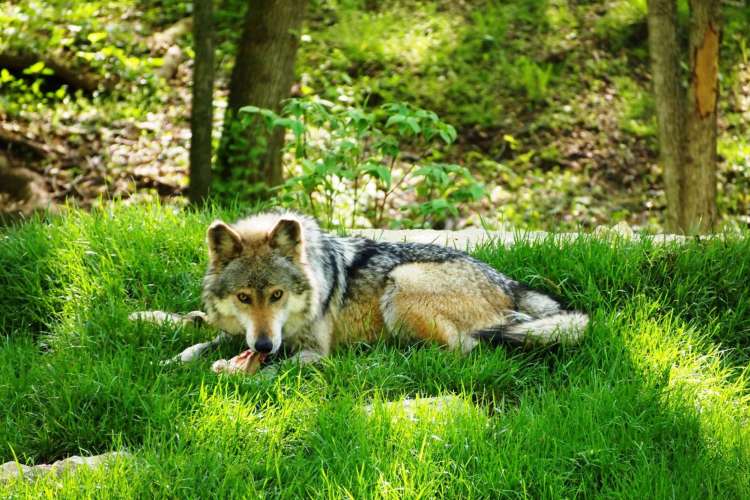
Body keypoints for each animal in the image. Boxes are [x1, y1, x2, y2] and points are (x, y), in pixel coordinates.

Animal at [138, 209, 592, 370]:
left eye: (277, 296)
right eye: (244, 298)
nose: (264, 344)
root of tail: (508, 283)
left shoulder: (311, 351)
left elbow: (275, 369)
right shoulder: (237, 331)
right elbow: (194, 334)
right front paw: (162, 345)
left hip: (402, 283)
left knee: (466, 349)